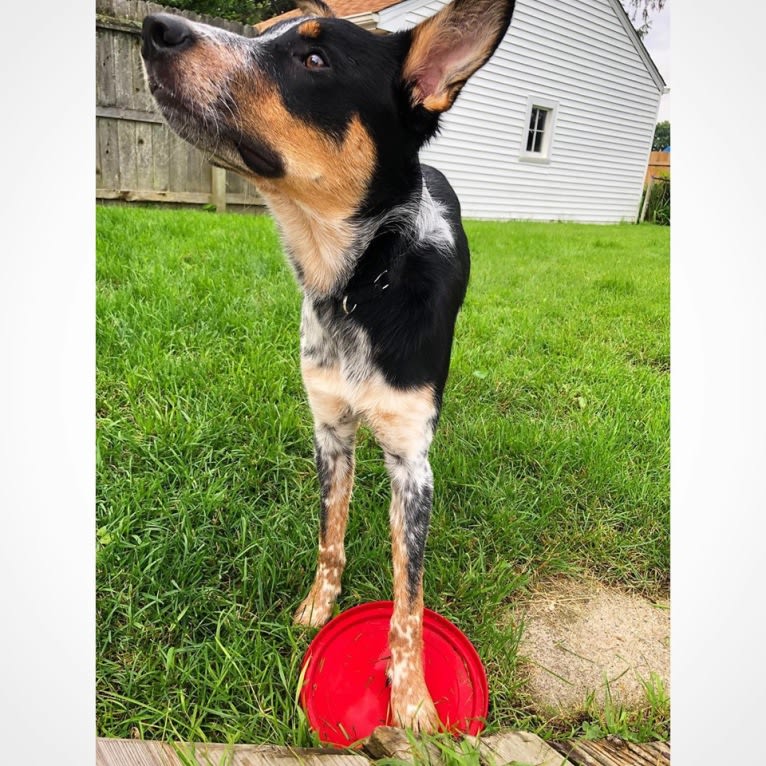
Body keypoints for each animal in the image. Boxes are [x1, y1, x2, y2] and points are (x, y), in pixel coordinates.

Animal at [142, 0, 520, 736]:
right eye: (265, 33)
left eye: (314, 59)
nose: (156, 28)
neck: (358, 282)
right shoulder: (330, 433)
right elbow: (331, 535)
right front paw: (318, 609)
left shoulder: (411, 462)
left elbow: (408, 602)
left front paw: (412, 701)